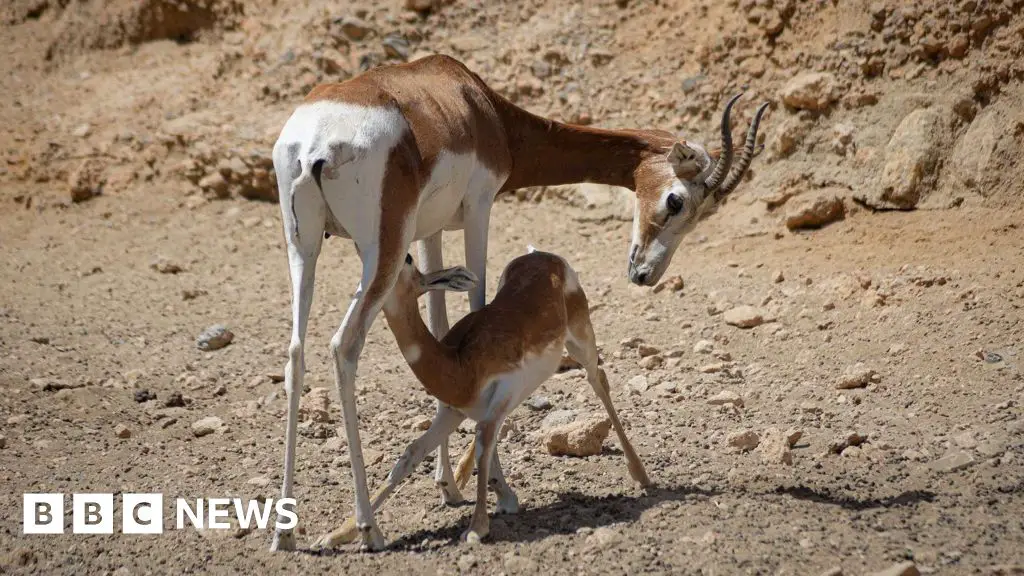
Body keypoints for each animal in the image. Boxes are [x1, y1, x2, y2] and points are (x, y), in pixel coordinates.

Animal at [313, 248, 647, 545]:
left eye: (407, 258)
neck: (459, 364)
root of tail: (543, 257)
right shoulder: (453, 411)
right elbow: (410, 455)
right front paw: (339, 534)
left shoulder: (495, 401)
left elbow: (484, 446)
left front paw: (476, 528)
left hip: (581, 340)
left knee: (598, 378)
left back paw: (640, 475)